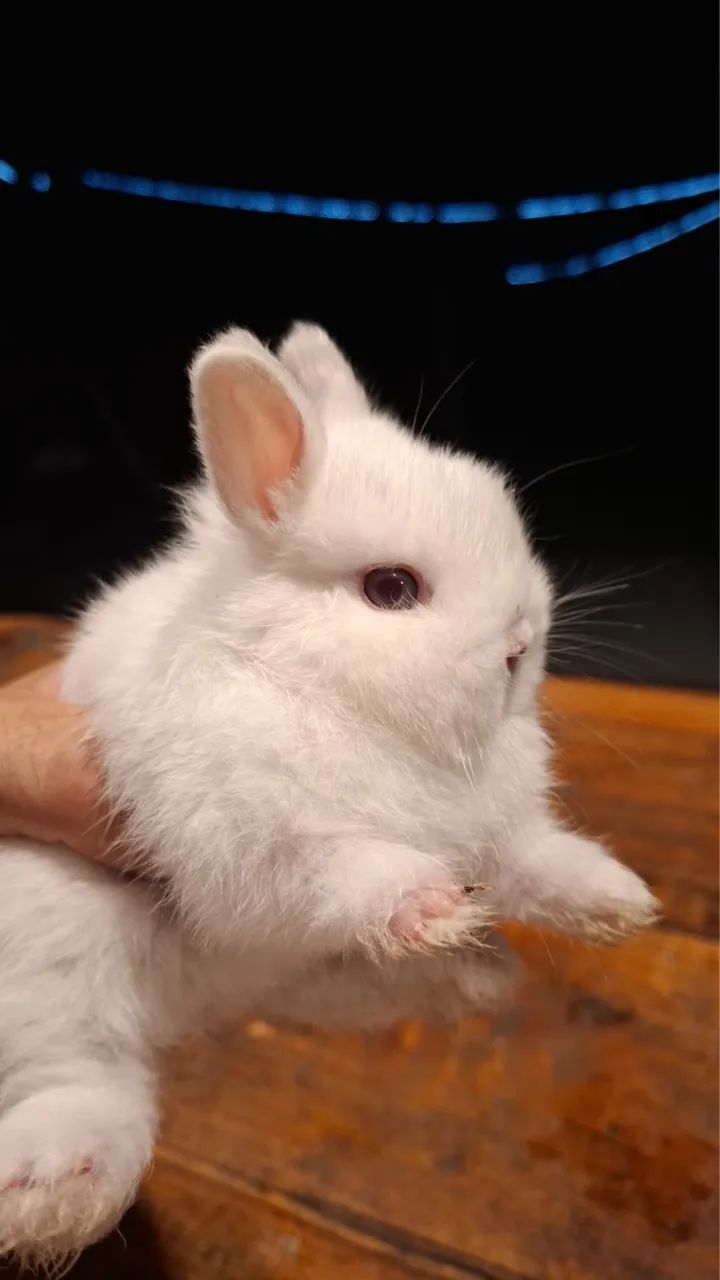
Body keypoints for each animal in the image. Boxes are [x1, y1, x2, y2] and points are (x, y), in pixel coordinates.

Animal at [0, 322, 658, 1265]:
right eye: (391, 588)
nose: (519, 646)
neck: (345, 699)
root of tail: (191, 1002)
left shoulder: (497, 835)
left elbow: (538, 864)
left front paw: (617, 902)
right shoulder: (256, 839)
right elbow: (350, 872)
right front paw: (432, 906)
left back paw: (476, 976)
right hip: (54, 952)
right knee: (85, 1076)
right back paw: (57, 1195)